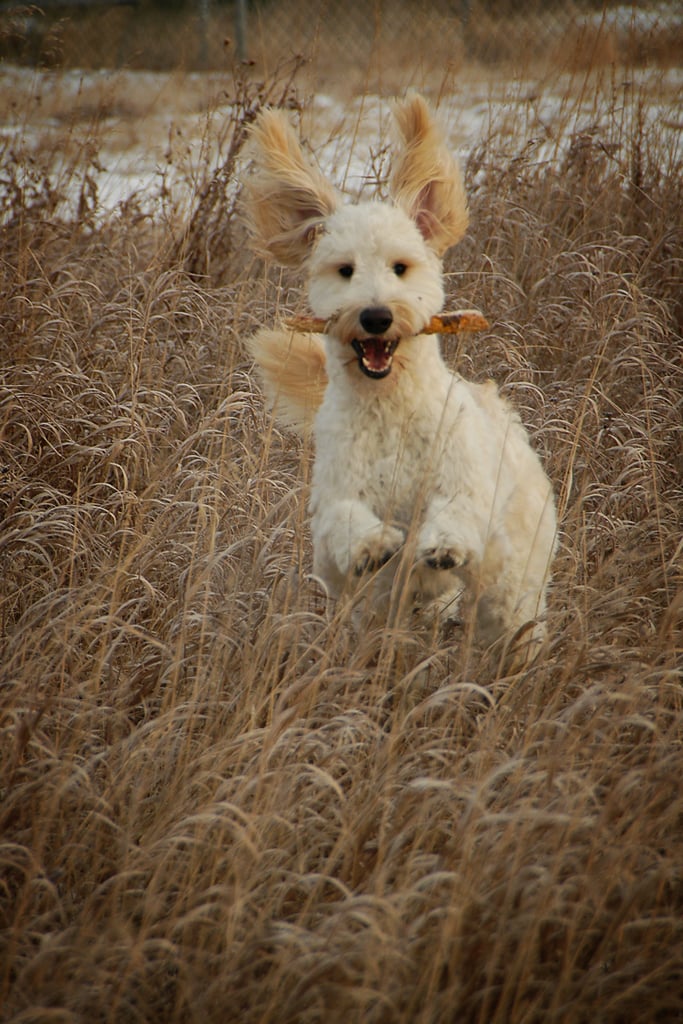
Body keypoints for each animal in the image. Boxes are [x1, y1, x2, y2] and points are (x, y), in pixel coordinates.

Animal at [242, 96, 557, 663]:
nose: (375, 316)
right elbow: (345, 523)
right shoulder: (332, 512)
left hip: (512, 588)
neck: (389, 407)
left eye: (401, 267)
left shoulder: (462, 486)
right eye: (344, 270)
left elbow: (455, 512)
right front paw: (375, 545)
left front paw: (442, 545)